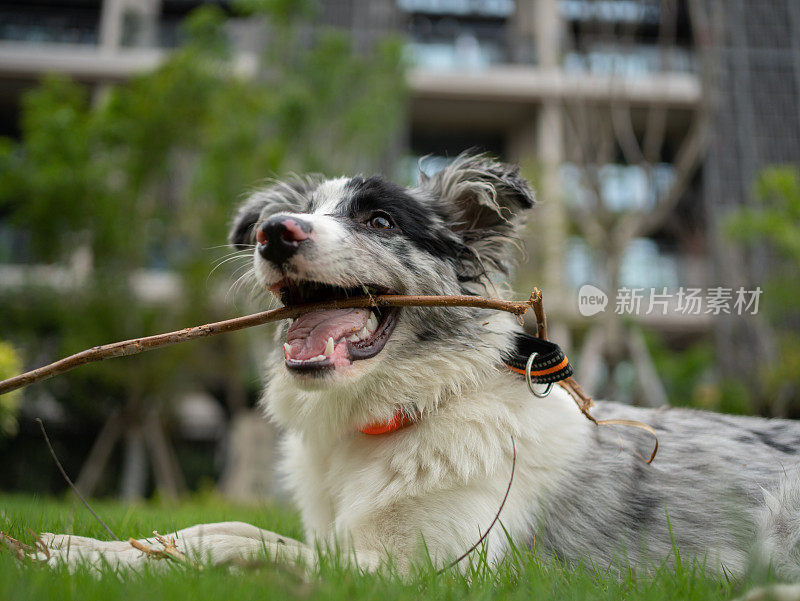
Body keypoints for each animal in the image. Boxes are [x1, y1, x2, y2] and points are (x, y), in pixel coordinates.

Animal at [34, 155, 800, 580]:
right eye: (299, 213)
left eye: (379, 221)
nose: (272, 232)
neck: (393, 419)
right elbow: (221, 531)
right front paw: (82, 547)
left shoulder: (426, 569)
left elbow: (239, 546)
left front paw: (90, 557)